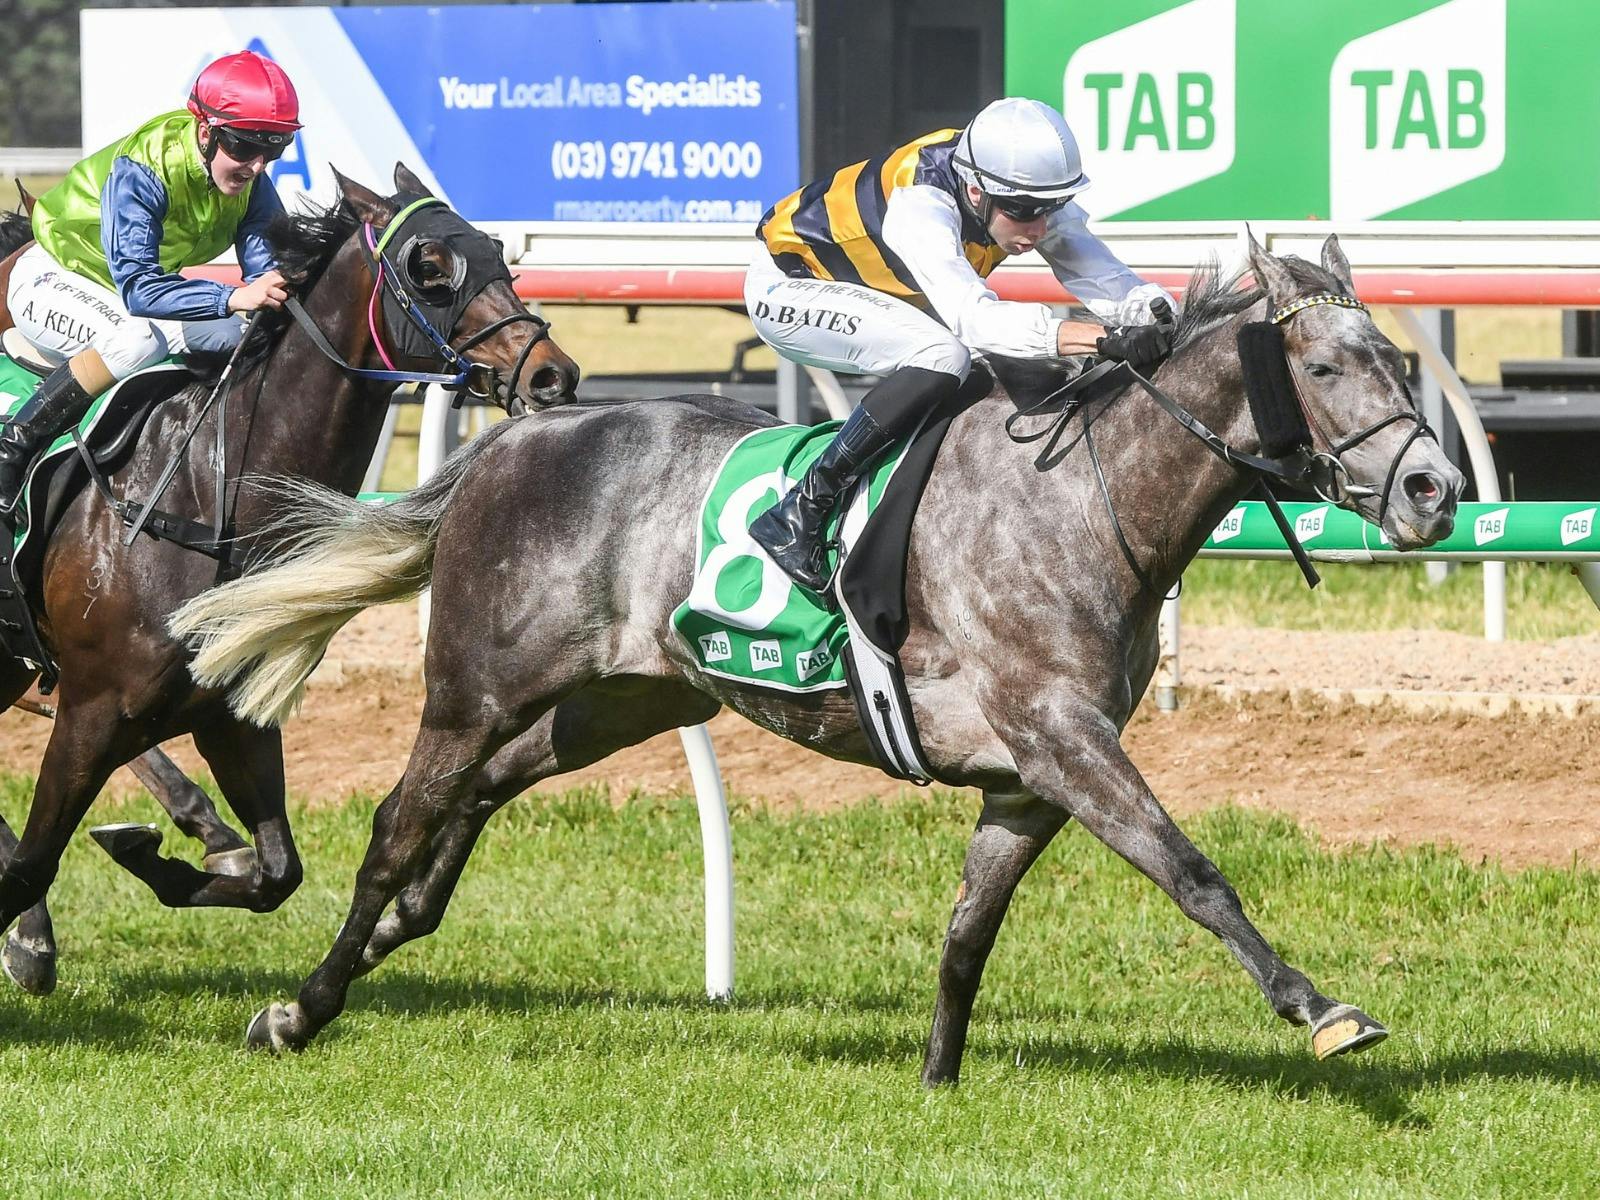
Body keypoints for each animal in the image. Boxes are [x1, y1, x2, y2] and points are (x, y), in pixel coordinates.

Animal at [0, 165, 579, 998]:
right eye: (429, 269)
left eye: (502, 256)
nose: (553, 373)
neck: (203, 493)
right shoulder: (92, 708)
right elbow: (31, 864)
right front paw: (37, 934)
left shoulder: (231, 714)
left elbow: (277, 873)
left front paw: (163, 855)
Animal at [174, 235, 1462, 1083]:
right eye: (1330, 369)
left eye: (1394, 359)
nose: (1432, 490)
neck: (1084, 504)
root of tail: (515, 440)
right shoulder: (1062, 738)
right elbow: (1192, 872)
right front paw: (1319, 1007)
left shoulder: (1027, 781)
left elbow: (968, 929)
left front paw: (937, 1079)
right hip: (475, 687)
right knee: (399, 819)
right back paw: (302, 1007)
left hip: (620, 700)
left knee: (483, 791)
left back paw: (403, 927)